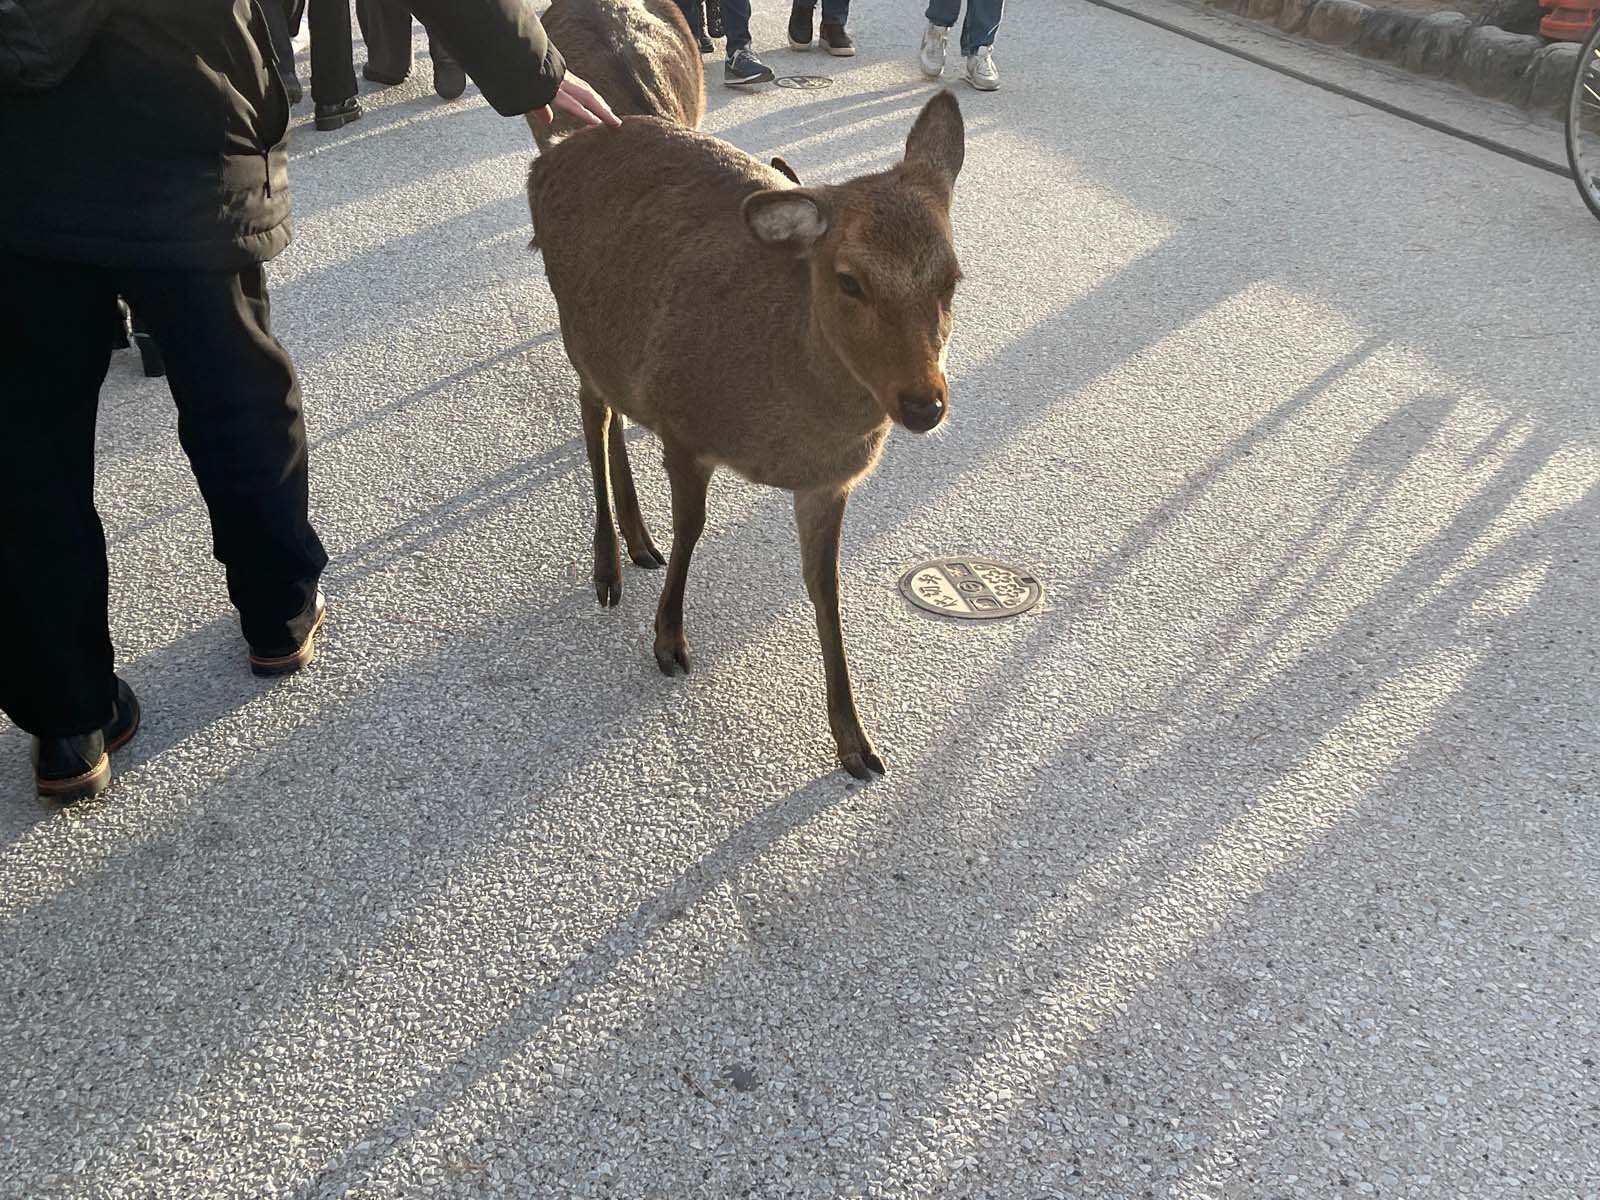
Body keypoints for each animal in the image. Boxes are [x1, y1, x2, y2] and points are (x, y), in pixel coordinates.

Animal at [531, 94, 966, 784]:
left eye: (952, 277)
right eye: (849, 279)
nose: (924, 405)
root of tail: (544, 162)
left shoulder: (827, 483)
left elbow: (825, 589)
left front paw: (855, 741)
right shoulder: (682, 422)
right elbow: (692, 529)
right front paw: (669, 640)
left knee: (611, 415)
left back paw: (637, 540)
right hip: (579, 331)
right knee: (593, 415)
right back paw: (608, 567)